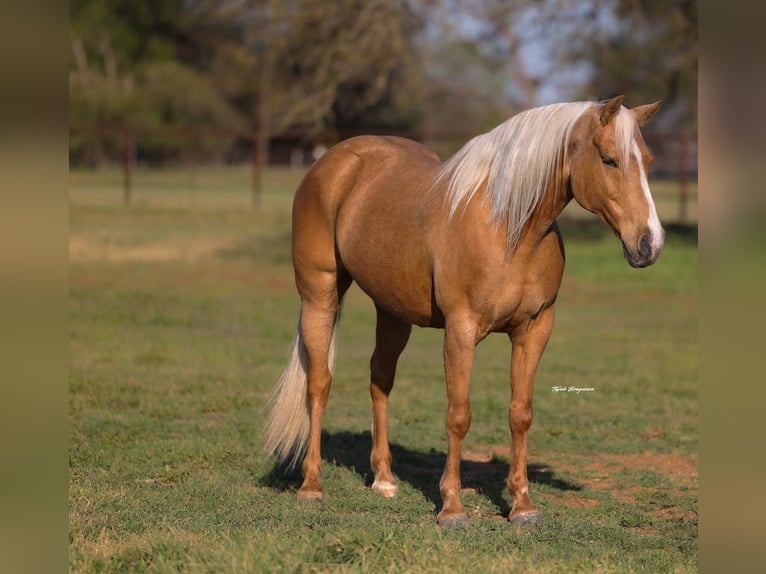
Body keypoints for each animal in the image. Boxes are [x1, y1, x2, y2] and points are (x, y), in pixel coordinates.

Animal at [264, 95, 663, 527]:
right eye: (609, 159)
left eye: (648, 160)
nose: (650, 244)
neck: (509, 228)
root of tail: (332, 162)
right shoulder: (461, 329)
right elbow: (458, 415)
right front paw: (452, 509)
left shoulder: (535, 329)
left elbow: (520, 413)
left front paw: (523, 506)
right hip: (319, 295)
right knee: (319, 383)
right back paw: (311, 486)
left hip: (392, 311)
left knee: (380, 379)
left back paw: (384, 480)